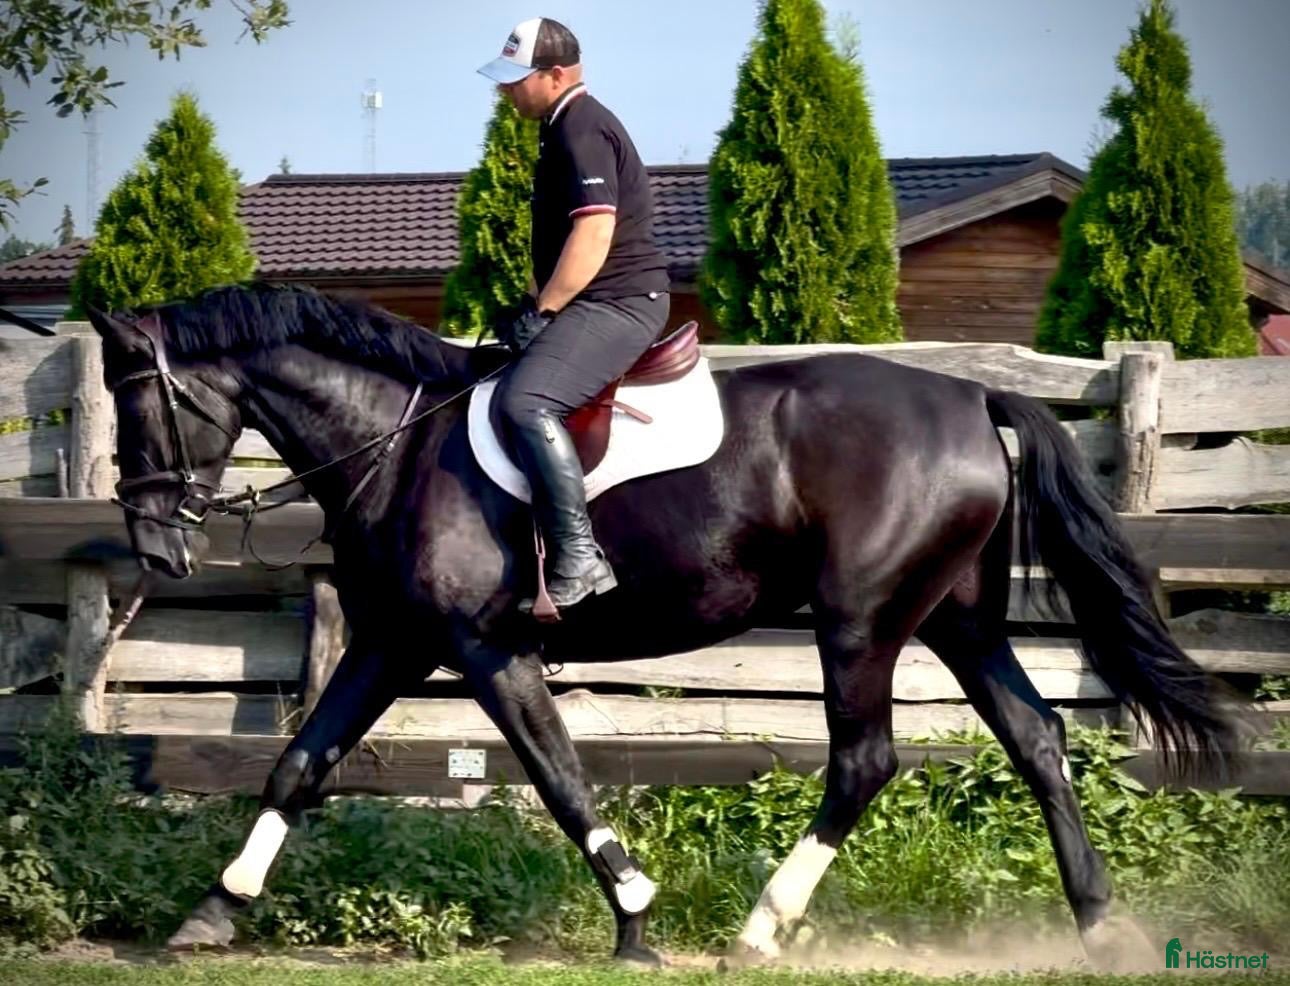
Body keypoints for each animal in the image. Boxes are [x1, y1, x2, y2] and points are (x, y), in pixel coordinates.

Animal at [84, 281, 1238, 969]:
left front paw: (636, 914)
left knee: (865, 761)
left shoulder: (486, 649)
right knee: (1038, 738)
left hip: (861, 621)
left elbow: (559, 778)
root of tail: (969, 397)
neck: (398, 444)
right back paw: (1102, 924)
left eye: (140, 404)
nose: (156, 548)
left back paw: (762, 929)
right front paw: (212, 911)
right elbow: (299, 764)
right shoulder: (393, 643)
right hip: (958, 620)